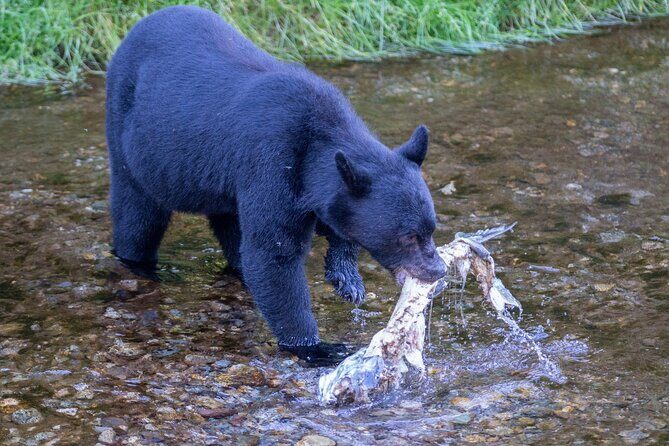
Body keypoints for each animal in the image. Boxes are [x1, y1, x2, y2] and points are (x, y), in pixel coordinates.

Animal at [106, 5, 446, 365]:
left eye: (432, 229)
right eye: (408, 236)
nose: (438, 269)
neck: (319, 137)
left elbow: (333, 222)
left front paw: (347, 278)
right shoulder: (272, 163)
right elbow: (273, 255)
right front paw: (314, 347)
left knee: (229, 225)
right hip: (129, 141)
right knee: (138, 216)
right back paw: (141, 266)